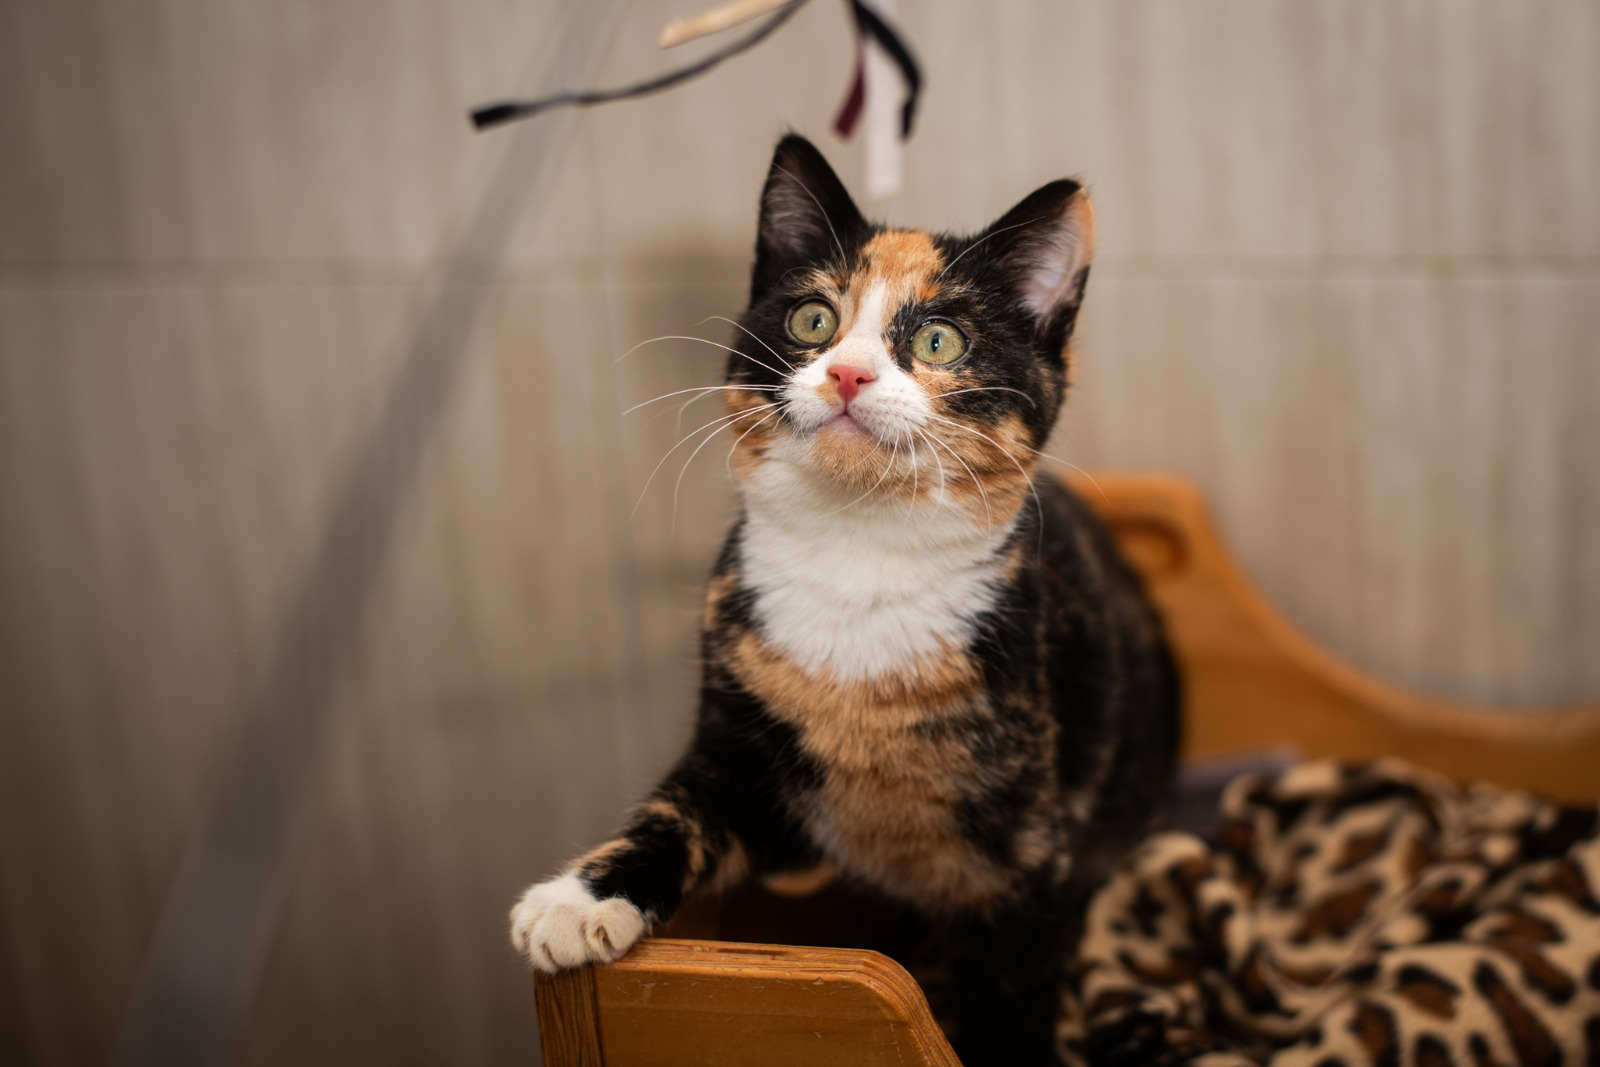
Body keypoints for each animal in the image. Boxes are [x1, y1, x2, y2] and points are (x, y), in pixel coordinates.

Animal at [510, 133, 1179, 1067]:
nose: (852, 373)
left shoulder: (1027, 858)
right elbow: (678, 810)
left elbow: (1013, 999)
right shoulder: (738, 741)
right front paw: (578, 900)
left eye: (938, 338)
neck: (859, 561)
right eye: (813, 322)